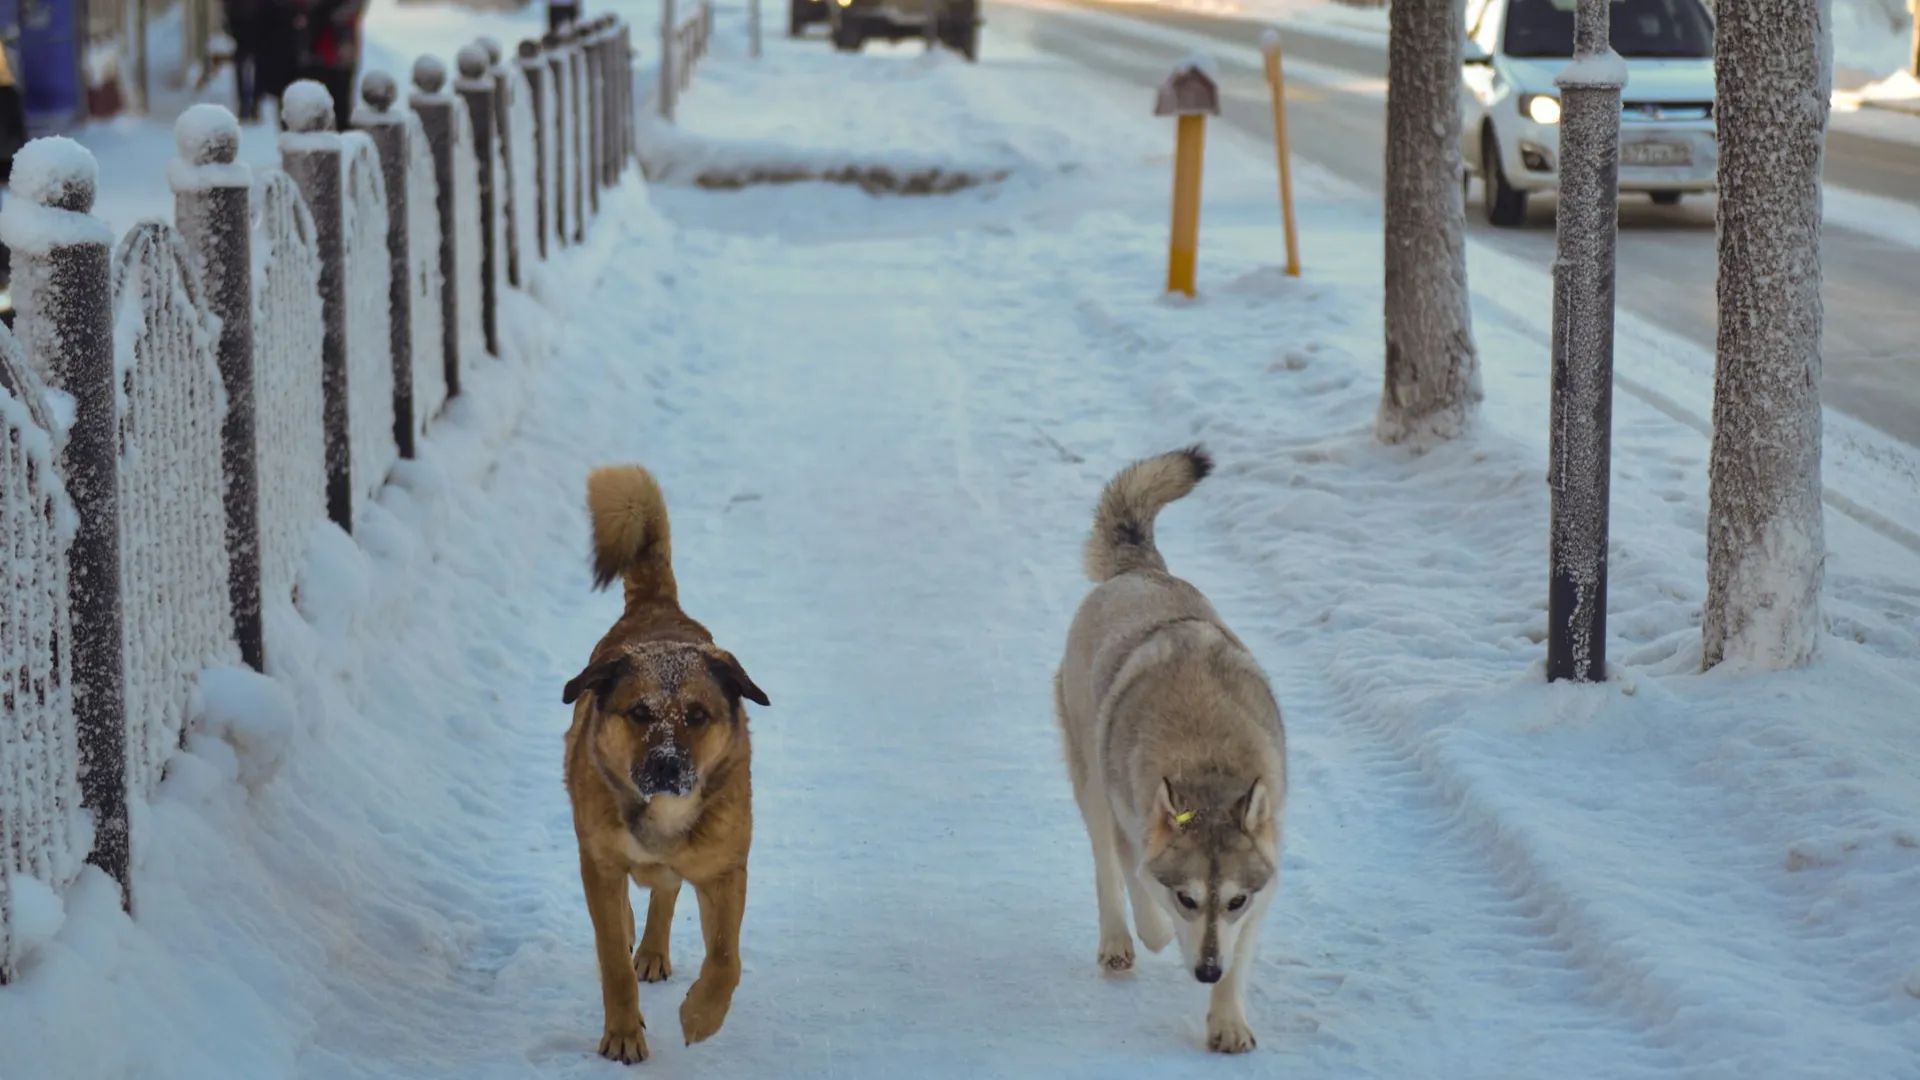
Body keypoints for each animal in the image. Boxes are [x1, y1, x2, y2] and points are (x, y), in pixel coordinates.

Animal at [560, 463, 768, 1060]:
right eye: (638, 712)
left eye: (697, 715)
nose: (668, 765)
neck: (662, 814)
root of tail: (659, 609)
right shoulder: (600, 863)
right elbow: (611, 959)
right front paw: (623, 1034)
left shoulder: (724, 869)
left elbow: (726, 958)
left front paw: (700, 1016)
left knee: (667, 892)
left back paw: (653, 948)